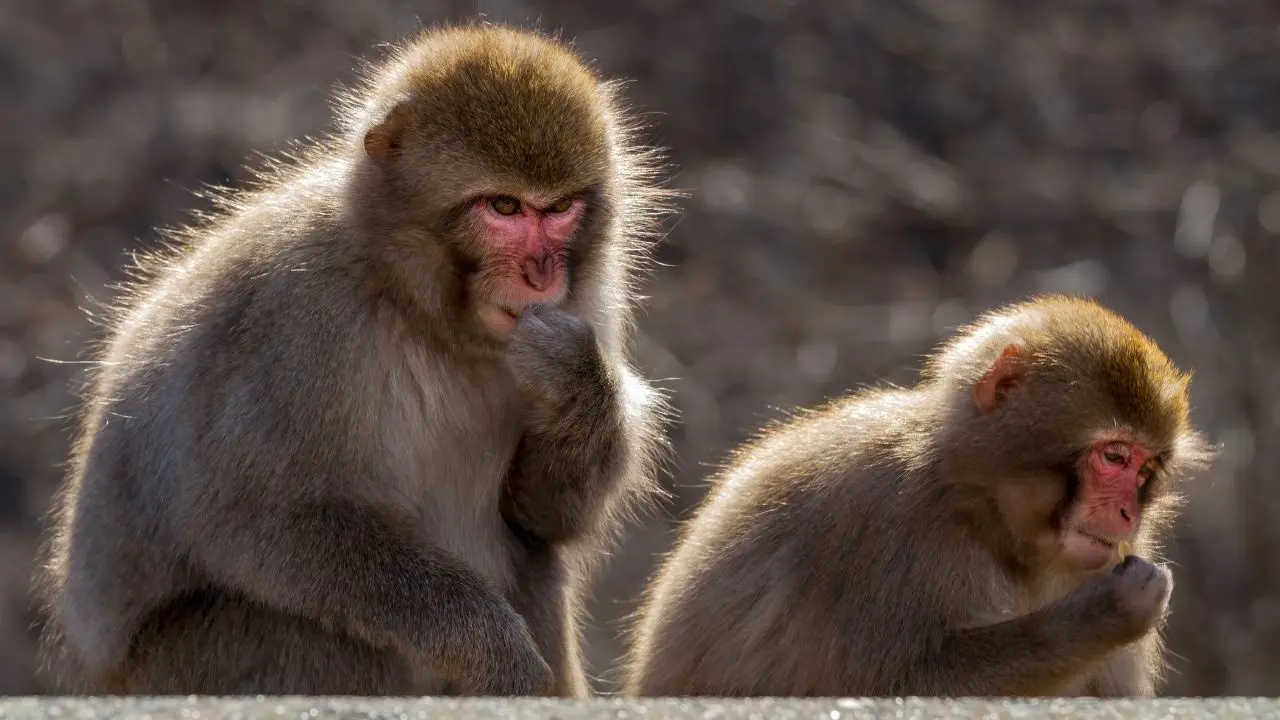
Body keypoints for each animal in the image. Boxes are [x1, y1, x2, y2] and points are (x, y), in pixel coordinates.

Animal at [35, 24, 676, 697]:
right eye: (503, 208)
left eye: (558, 209)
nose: (541, 274)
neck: (421, 307)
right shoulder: (302, 314)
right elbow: (256, 519)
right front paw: (494, 655)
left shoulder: (589, 301)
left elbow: (538, 517)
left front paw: (576, 382)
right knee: (299, 629)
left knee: (534, 557)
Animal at [624, 295, 1214, 698]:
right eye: (1113, 457)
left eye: (1146, 469)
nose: (1128, 513)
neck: (983, 508)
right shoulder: (888, 520)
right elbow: (889, 685)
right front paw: (1105, 612)